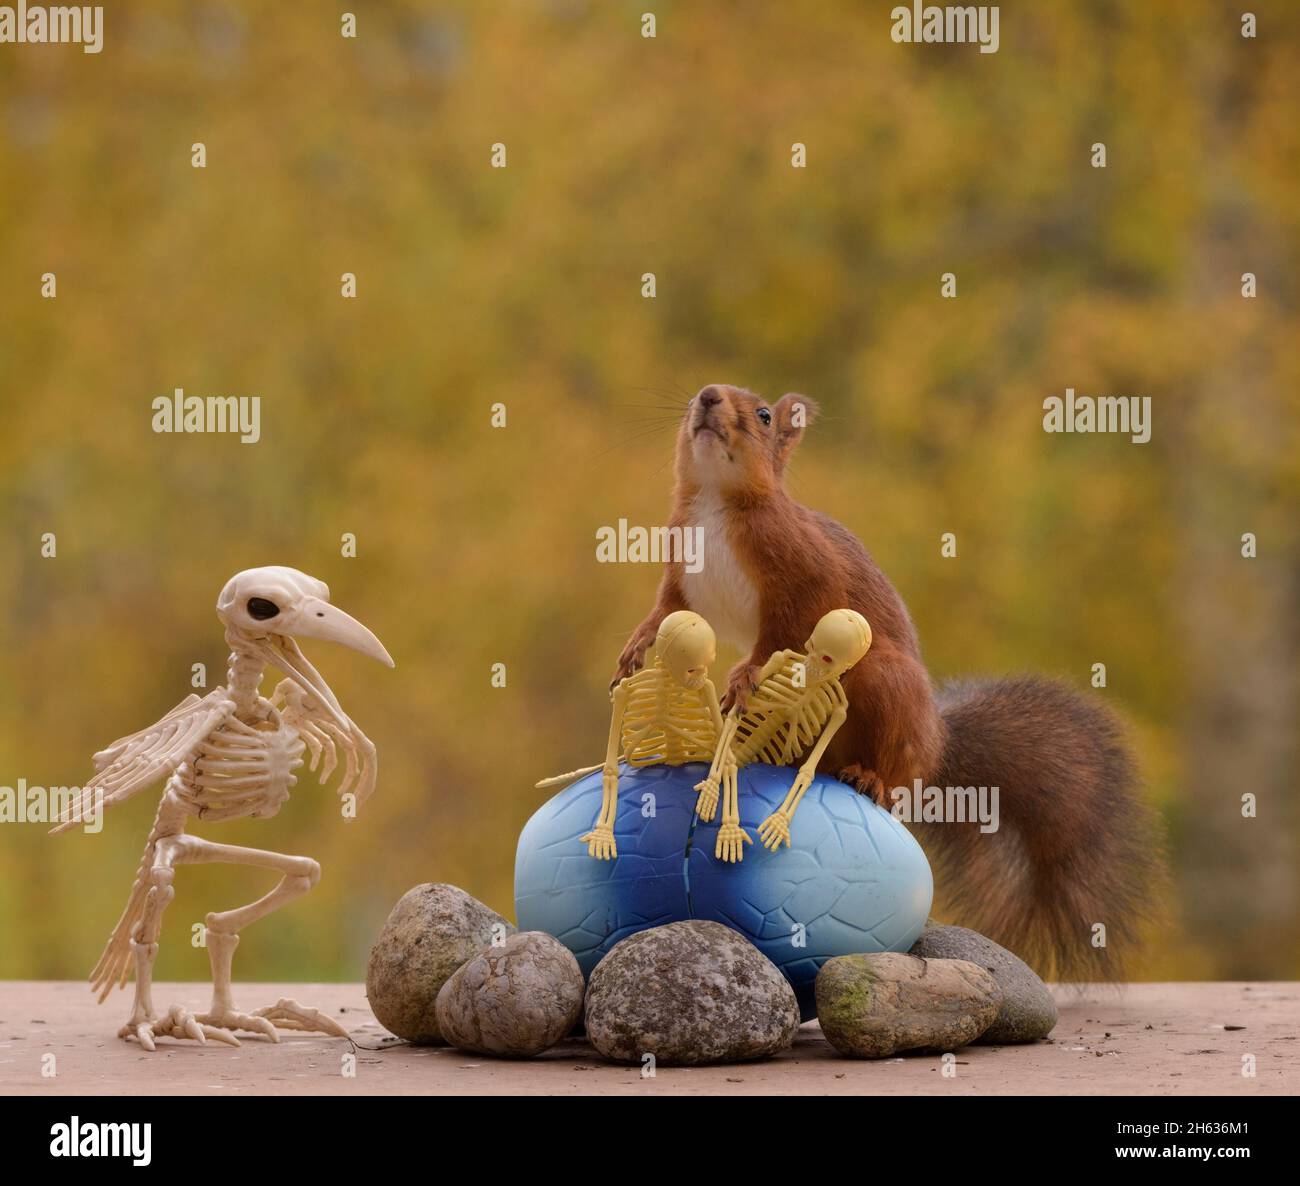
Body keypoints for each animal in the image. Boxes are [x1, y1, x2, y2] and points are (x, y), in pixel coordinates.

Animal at [613, 384, 1164, 977]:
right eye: (706, 390)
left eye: (762, 415)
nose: (709, 396)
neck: (715, 503)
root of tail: (936, 743)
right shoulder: (682, 573)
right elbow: (665, 612)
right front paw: (636, 646)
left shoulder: (804, 574)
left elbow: (782, 632)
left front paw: (745, 674)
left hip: (885, 685)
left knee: (895, 778)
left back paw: (871, 778)